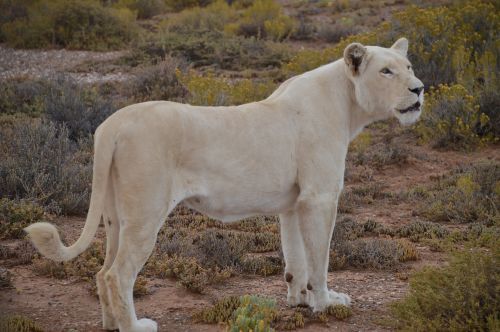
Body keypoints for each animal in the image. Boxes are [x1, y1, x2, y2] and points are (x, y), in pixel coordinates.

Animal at [23, 37, 422, 330]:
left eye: (409, 67)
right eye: (386, 71)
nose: (419, 89)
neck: (348, 103)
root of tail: (112, 125)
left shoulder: (294, 204)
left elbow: (296, 258)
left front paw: (300, 299)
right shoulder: (319, 198)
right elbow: (319, 259)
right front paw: (326, 303)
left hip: (114, 216)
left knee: (101, 270)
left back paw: (112, 324)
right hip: (145, 213)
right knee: (116, 275)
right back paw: (136, 326)